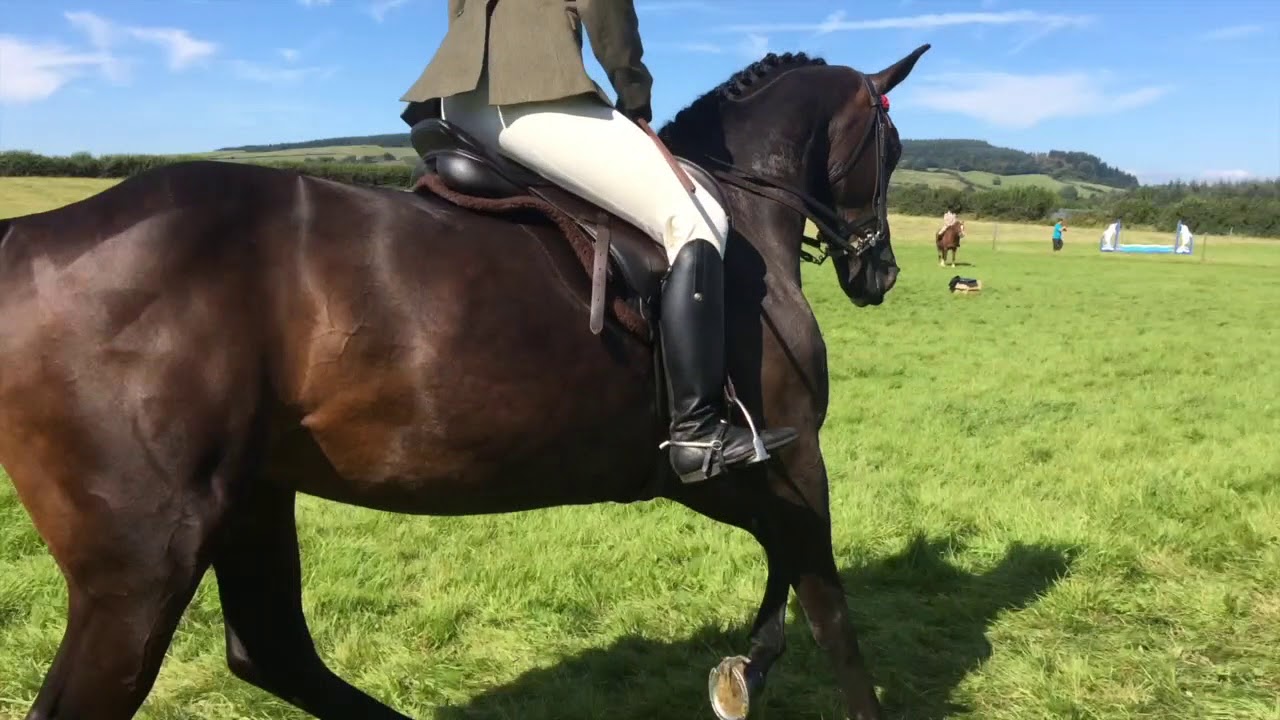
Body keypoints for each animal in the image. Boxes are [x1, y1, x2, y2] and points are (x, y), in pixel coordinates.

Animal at [0, 45, 929, 720]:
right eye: (891, 151)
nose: (878, 272)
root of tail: (26, 239)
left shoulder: (697, 469)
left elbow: (783, 562)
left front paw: (746, 671)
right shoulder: (788, 456)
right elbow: (829, 607)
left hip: (249, 498)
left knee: (273, 650)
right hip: (143, 565)